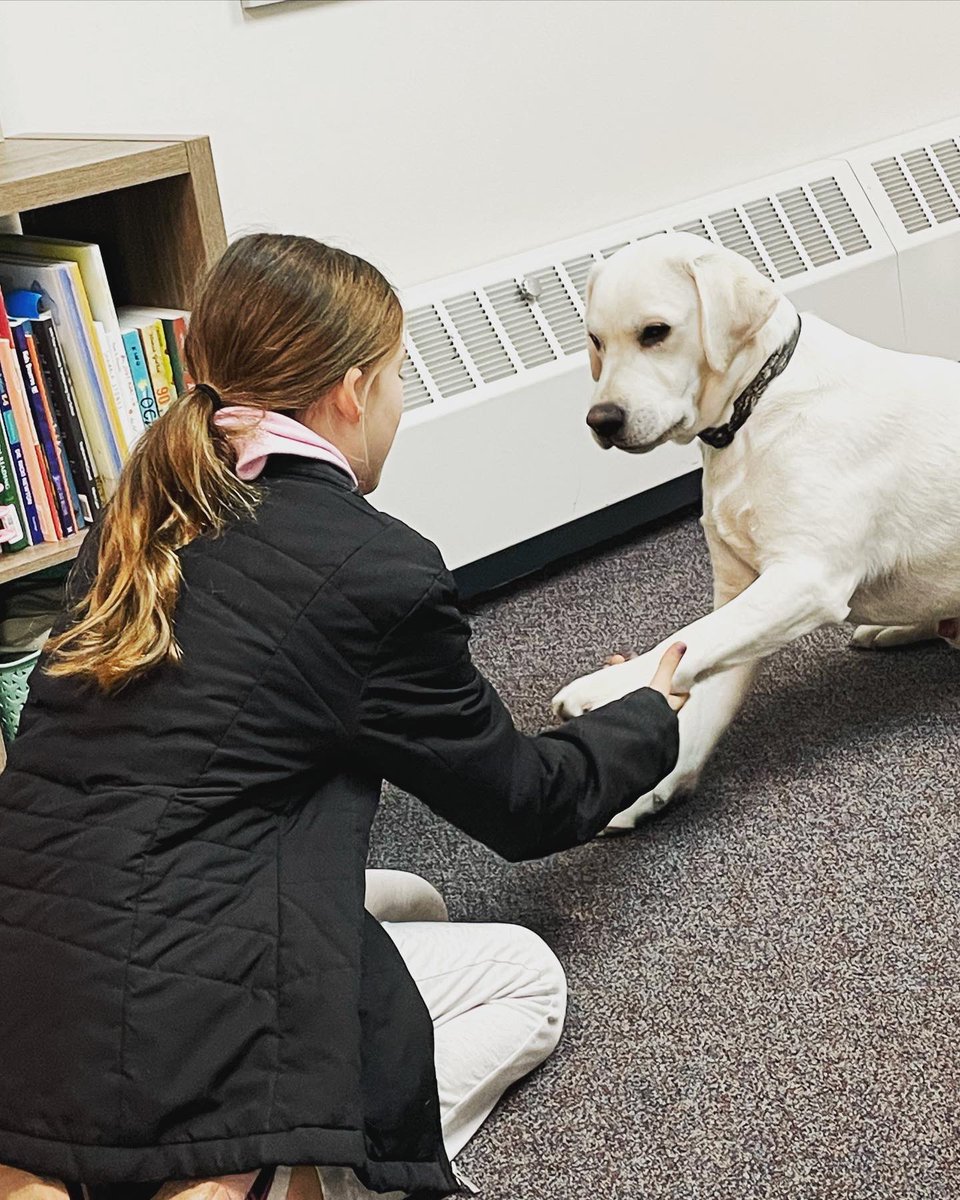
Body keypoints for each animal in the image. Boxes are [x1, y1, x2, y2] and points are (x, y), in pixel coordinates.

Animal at [554, 226, 960, 825]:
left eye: (655, 332)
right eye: (595, 340)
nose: (600, 420)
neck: (755, 410)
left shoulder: (802, 580)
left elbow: (686, 638)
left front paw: (607, 685)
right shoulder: (741, 591)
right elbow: (697, 672)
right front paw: (653, 788)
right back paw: (898, 628)